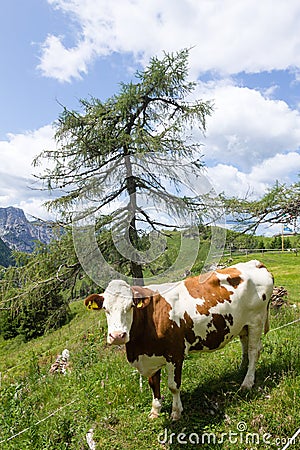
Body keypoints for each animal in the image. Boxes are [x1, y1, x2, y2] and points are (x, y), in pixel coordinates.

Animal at [84, 258, 274, 420]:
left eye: (130, 306)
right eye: (105, 309)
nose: (117, 336)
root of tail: (255, 263)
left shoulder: (175, 354)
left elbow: (173, 386)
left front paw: (176, 412)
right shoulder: (151, 356)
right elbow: (154, 384)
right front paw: (155, 411)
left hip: (256, 320)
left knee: (254, 351)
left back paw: (247, 382)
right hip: (242, 324)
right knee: (245, 345)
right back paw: (241, 368)